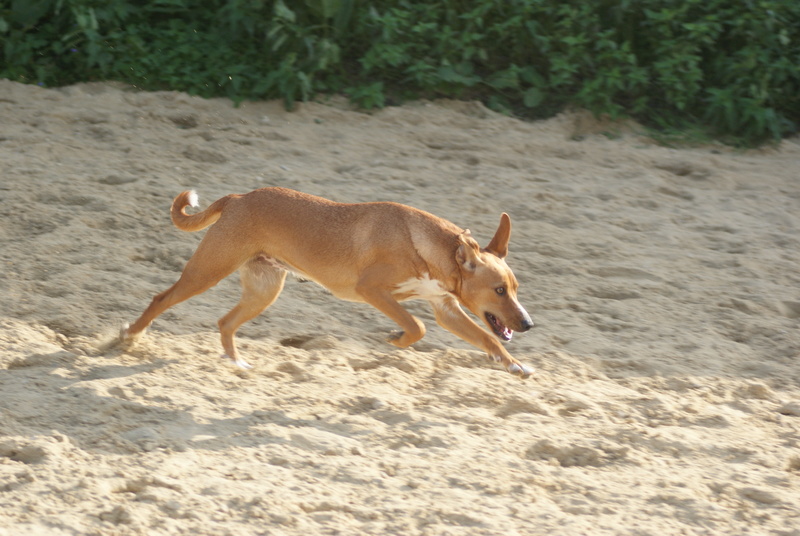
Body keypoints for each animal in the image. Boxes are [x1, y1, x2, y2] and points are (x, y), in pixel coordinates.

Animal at [122, 187, 536, 376]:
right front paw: (396, 339)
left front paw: (515, 365)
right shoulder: (372, 291)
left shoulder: (446, 308)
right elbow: (415, 326)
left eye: (515, 289)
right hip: (207, 272)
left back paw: (237, 363)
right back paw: (127, 338)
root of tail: (239, 197)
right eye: (499, 290)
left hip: (264, 289)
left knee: (225, 323)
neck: (427, 245)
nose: (528, 323)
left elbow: (486, 339)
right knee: (160, 300)